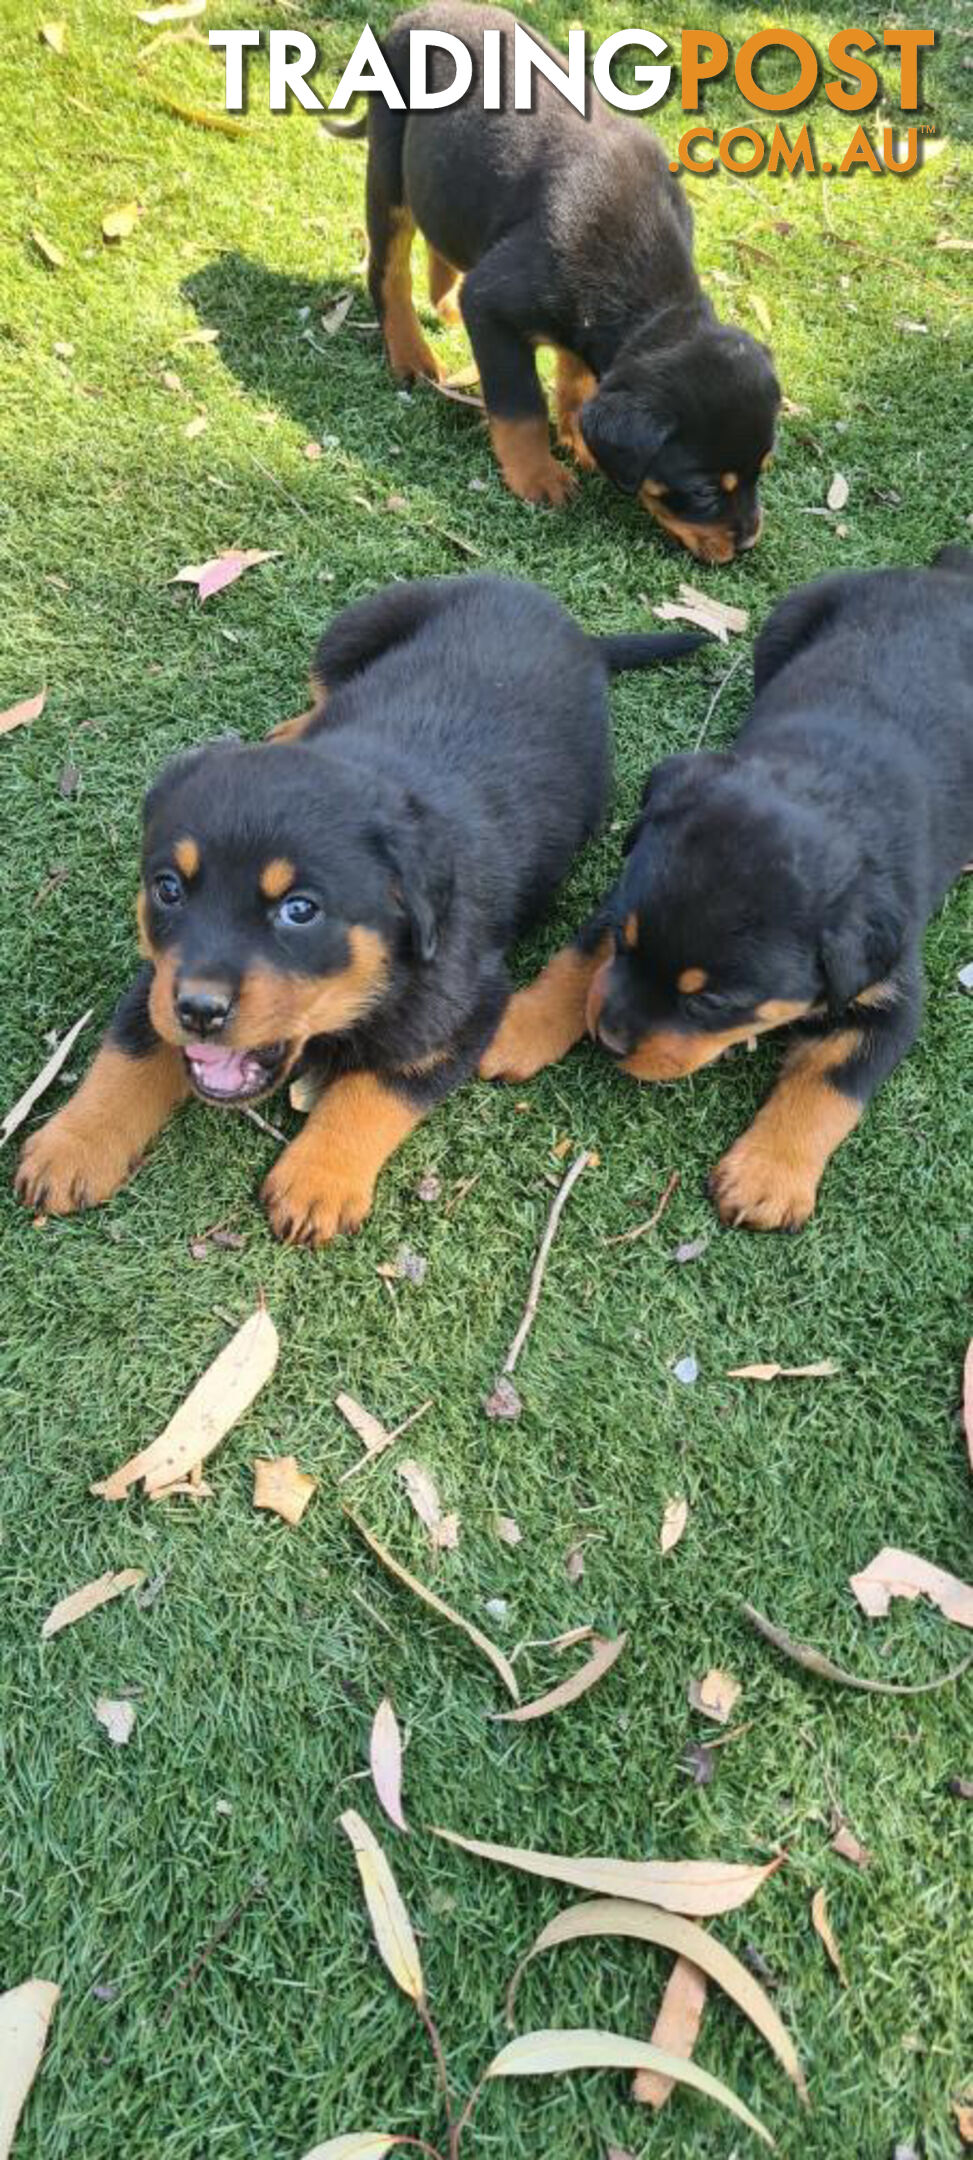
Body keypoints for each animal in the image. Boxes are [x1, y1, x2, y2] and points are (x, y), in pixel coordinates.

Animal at [13, 574, 700, 1252]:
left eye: (300, 910)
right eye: (168, 889)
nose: (200, 1011)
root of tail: (563, 620)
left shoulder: (465, 1009)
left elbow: (379, 1087)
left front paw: (318, 1179)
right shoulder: (159, 976)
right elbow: (128, 1051)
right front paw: (70, 1147)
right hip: (357, 626)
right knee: (323, 690)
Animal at [326, 4, 782, 557]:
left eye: (763, 469)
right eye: (702, 490)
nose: (748, 542)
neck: (644, 291)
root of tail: (411, 17)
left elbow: (576, 375)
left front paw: (578, 437)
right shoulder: (494, 305)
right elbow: (520, 403)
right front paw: (538, 476)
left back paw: (445, 303)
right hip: (389, 168)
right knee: (388, 271)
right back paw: (411, 356)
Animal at [482, 548, 972, 1235]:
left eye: (713, 1002)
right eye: (628, 946)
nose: (610, 1039)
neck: (828, 790)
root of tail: (952, 572)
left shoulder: (889, 993)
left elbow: (833, 1083)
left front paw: (767, 1178)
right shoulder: (622, 899)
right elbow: (576, 961)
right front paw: (517, 1028)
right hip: (788, 618)